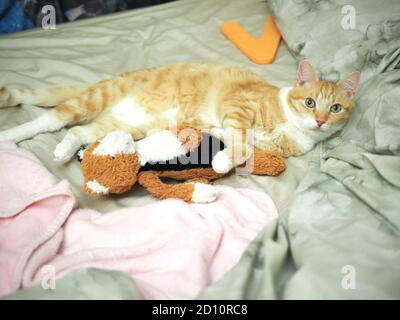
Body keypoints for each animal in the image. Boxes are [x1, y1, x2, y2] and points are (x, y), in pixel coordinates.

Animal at [0, 61, 360, 174]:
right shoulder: (238, 106)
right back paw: (8, 138)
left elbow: (244, 145)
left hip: (123, 123)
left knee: (79, 132)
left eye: (335, 108)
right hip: (94, 99)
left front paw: (224, 157)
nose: (320, 121)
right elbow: (244, 142)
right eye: (310, 102)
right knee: (52, 120)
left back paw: (66, 149)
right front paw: (224, 161)